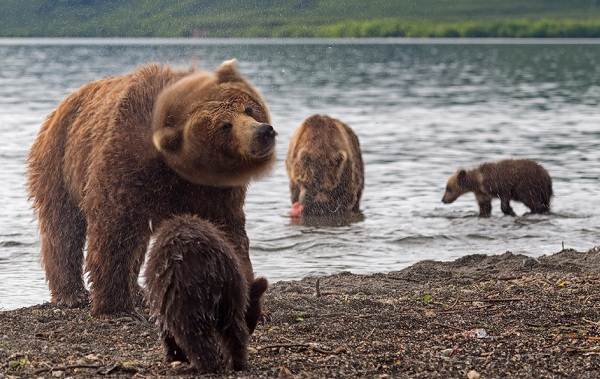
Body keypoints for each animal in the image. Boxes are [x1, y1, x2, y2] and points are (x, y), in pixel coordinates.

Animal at [25, 60, 274, 318]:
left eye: (248, 109)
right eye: (225, 125)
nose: (263, 132)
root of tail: (61, 105)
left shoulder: (214, 191)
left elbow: (228, 230)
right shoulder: (126, 157)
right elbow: (113, 228)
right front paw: (114, 305)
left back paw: (137, 291)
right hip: (60, 161)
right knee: (63, 229)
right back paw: (72, 294)